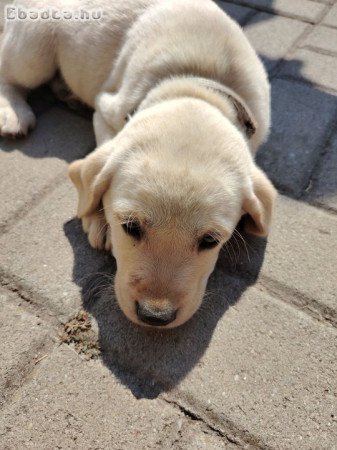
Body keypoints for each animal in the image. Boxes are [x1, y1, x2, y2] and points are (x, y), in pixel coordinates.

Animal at [0, 0, 276, 330]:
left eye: (210, 240)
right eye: (130, 227)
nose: (154, 317)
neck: (195, 84)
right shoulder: (107, 110)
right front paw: (98, 220)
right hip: (34, 52)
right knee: (8, 75)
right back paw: (13, 112)